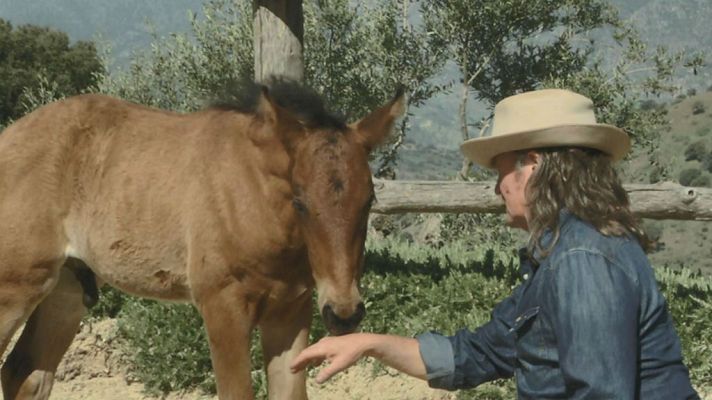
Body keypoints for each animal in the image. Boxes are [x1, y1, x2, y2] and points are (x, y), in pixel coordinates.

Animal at [0, 80, 404, 400]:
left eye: (369, 200)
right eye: (300, 201)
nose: (344, 313)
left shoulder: (291, 309)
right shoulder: (222, 306)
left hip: (65, 290)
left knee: (25, 375)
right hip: (15, 288)